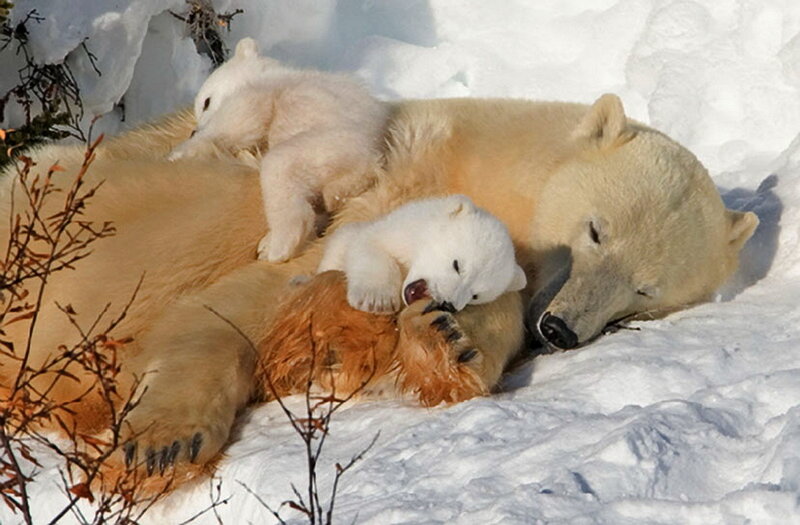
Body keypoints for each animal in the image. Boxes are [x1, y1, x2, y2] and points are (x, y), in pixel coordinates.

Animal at [168, 38, 389, 263]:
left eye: (206, 102)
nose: (193, 131)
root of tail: (370, 163)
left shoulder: (262, 90)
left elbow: (241, 120)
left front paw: (179, 153)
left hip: (327, 146)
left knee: (280, 168)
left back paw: (277, 246)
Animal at [317, 194, 527, 313]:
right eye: (457, 265)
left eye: (476, 295)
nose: (448, 305)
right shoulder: (392, 233)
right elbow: (368, 245)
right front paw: (376, 300)